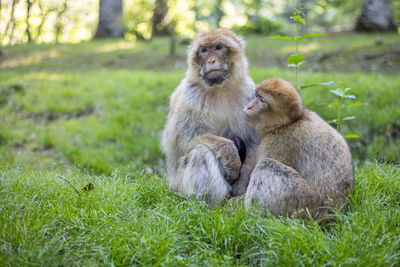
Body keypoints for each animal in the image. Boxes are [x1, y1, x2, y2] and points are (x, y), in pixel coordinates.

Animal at [161, 29, 258, 205]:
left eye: (218, 47)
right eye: (204, 50)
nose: (212, 60)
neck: (219, 88)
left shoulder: (249, 93)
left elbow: (253, 143)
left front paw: (242, 186)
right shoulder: (188, 98)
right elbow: (183, 143)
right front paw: (230, 153)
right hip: (178, 185)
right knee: (200, 151)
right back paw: (210, 204)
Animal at [244, 78, 354, 220]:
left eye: (262, 100)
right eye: (256, 96)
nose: (249, 106)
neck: (287, 123)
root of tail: (334, 214)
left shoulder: (279, 143)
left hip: (306, 205)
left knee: (266, 166)